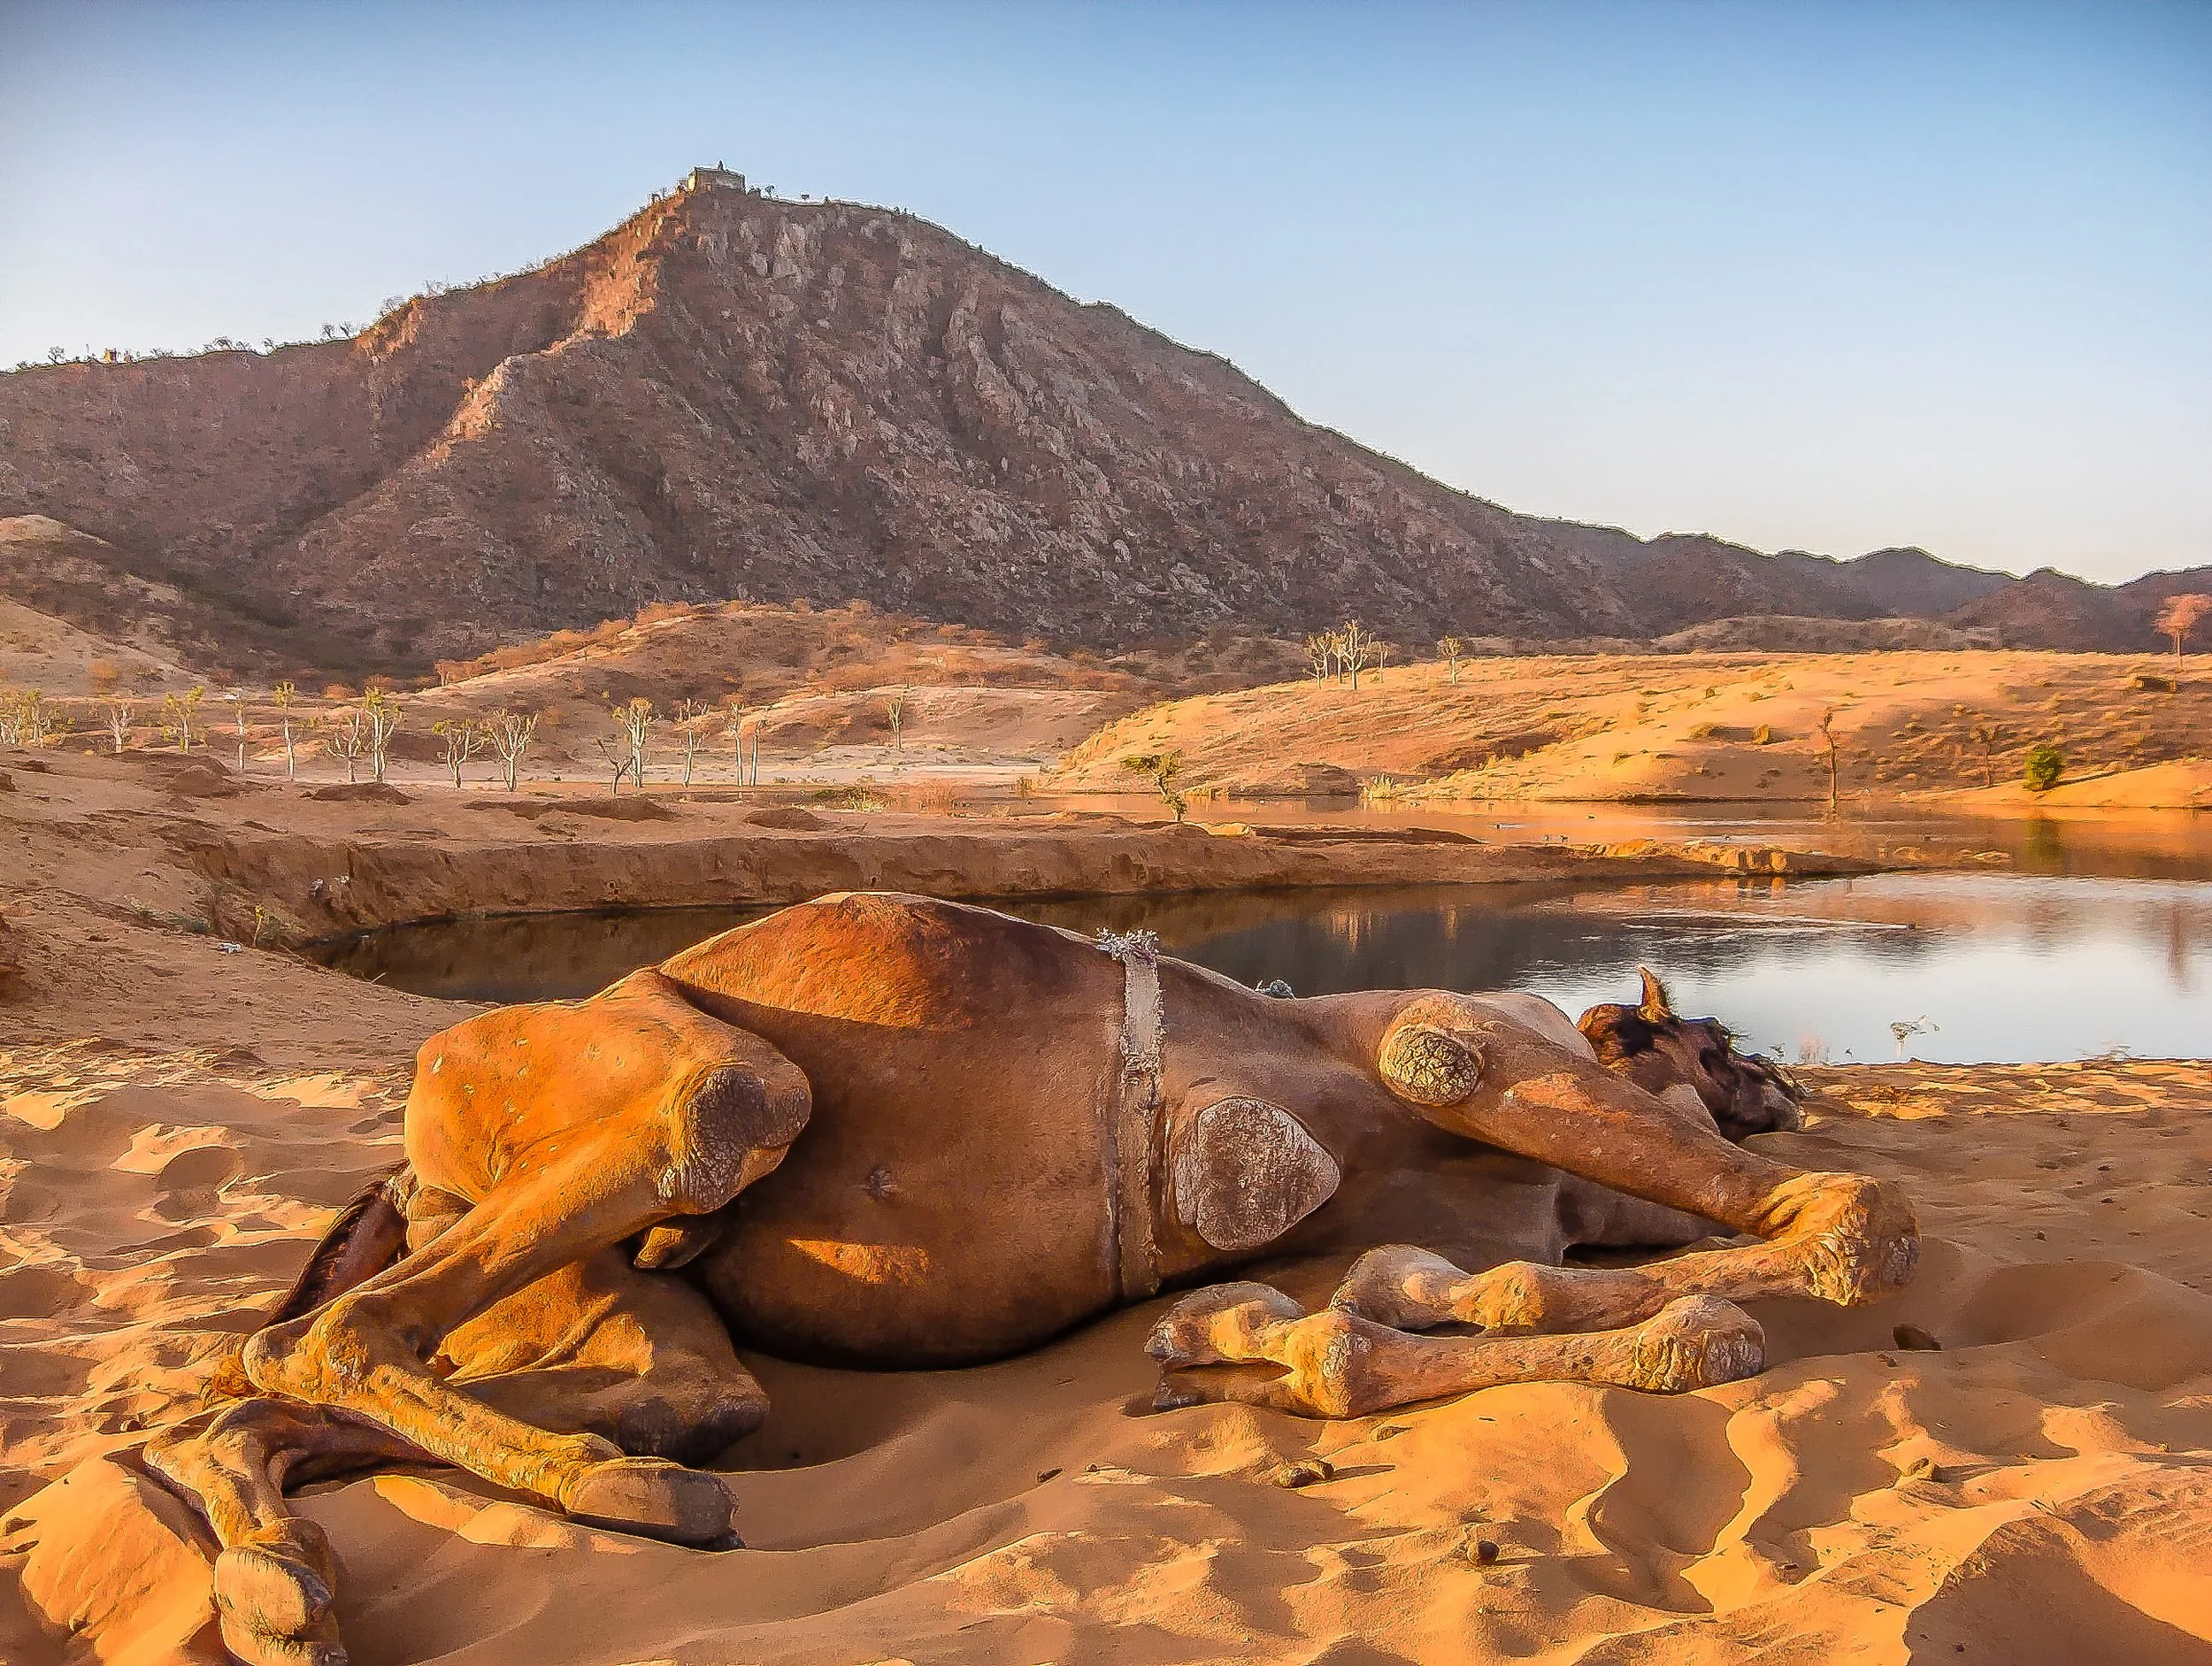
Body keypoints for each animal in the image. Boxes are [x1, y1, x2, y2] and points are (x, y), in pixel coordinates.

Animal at [134, 891, 1915, 1666]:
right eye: (1714, 1035)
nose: (1778, 1080)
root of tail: (405, 1150)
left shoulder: (1427, 1234)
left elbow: (1371, 1309)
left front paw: (1242, 1348)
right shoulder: (1477, 1043)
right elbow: (1848, 1221)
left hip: (598, 1303)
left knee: (312, 1381)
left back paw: (289, 1570)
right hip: (617, 1076)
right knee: (668, 1139)